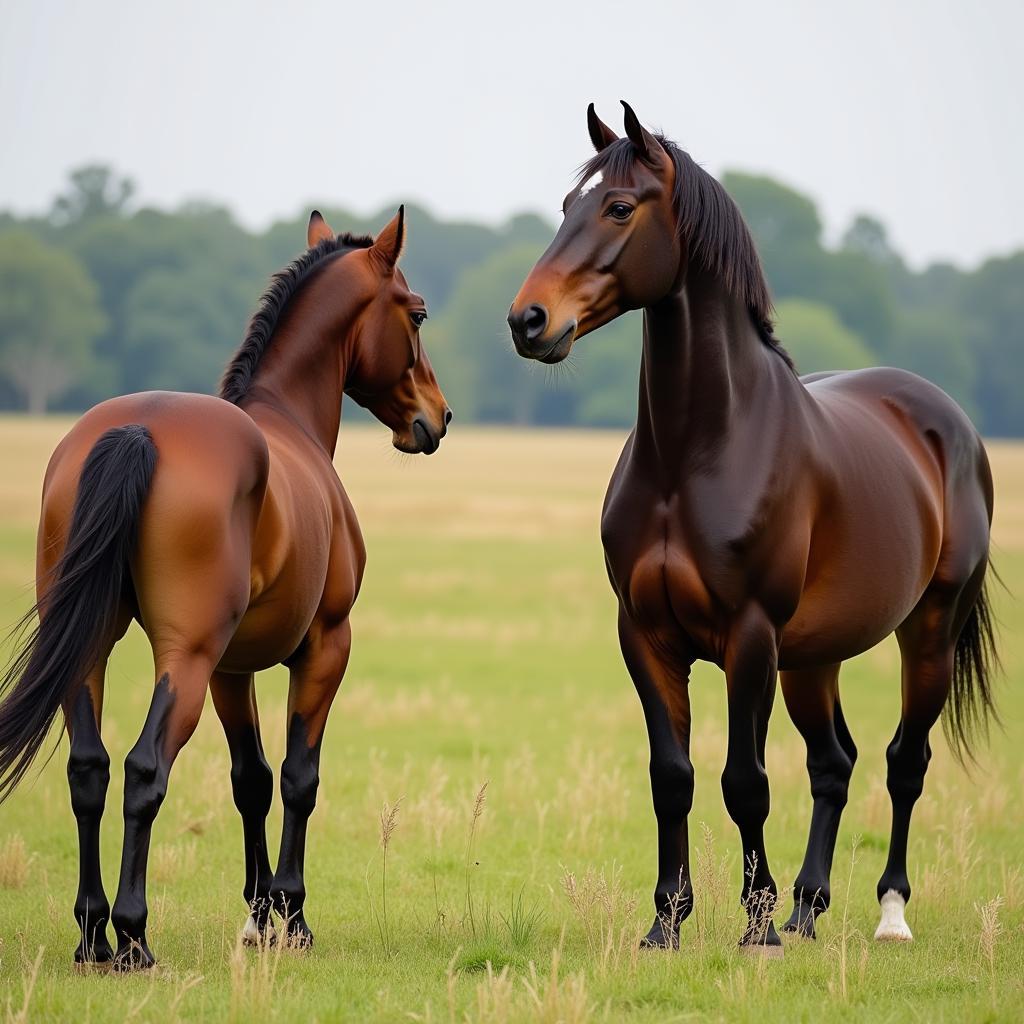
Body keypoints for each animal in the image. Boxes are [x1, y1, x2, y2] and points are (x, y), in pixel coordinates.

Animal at [0, 205, 450, 966]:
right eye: (415, 312)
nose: (436, 417)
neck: (287, 418)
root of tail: (137, 429)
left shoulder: (231, 672)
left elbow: (252, 780)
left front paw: (258, 915)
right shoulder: (324, 648)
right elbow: (298, 776)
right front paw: (292, 917)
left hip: (93, 650)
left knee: (89, 770)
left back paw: (93, 933)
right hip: (185, 657)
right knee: (144, 768)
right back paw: (133, 935)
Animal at [507, 103, 995, 950]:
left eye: (620, 208)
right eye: (568, 206)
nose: (528, 320)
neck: (696, 452)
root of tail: (944, 419)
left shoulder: (750, 636)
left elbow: (745, 781)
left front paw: (756, 923)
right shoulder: (646, 635)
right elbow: (672, 778)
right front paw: (667, 922)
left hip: (927, 631)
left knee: (906, 761)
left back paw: (887, 913)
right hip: (814, 658)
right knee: (835, 763)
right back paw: (807, 907)